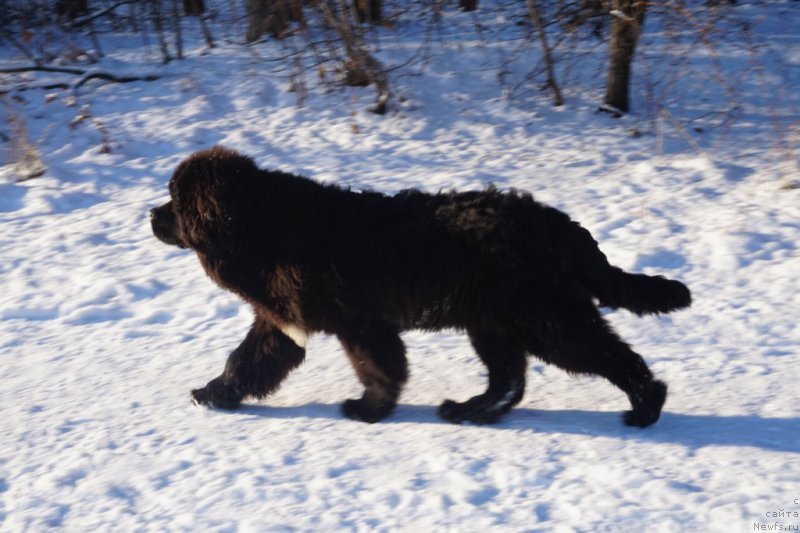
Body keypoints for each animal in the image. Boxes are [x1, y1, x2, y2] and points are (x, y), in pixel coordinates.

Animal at [153, 145, 692, 428]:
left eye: (174, 199)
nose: (150, 215)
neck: (262, 225)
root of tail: (560, 224)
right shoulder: (282, 323)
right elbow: (245, 362)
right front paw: (214, 394)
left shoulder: (361, 323)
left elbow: (379, 369)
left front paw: (370, 409)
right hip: (494, 323)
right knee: (509, 379)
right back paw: (472, 411)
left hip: (548, 320)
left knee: (614, 357)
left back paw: (646, 407)